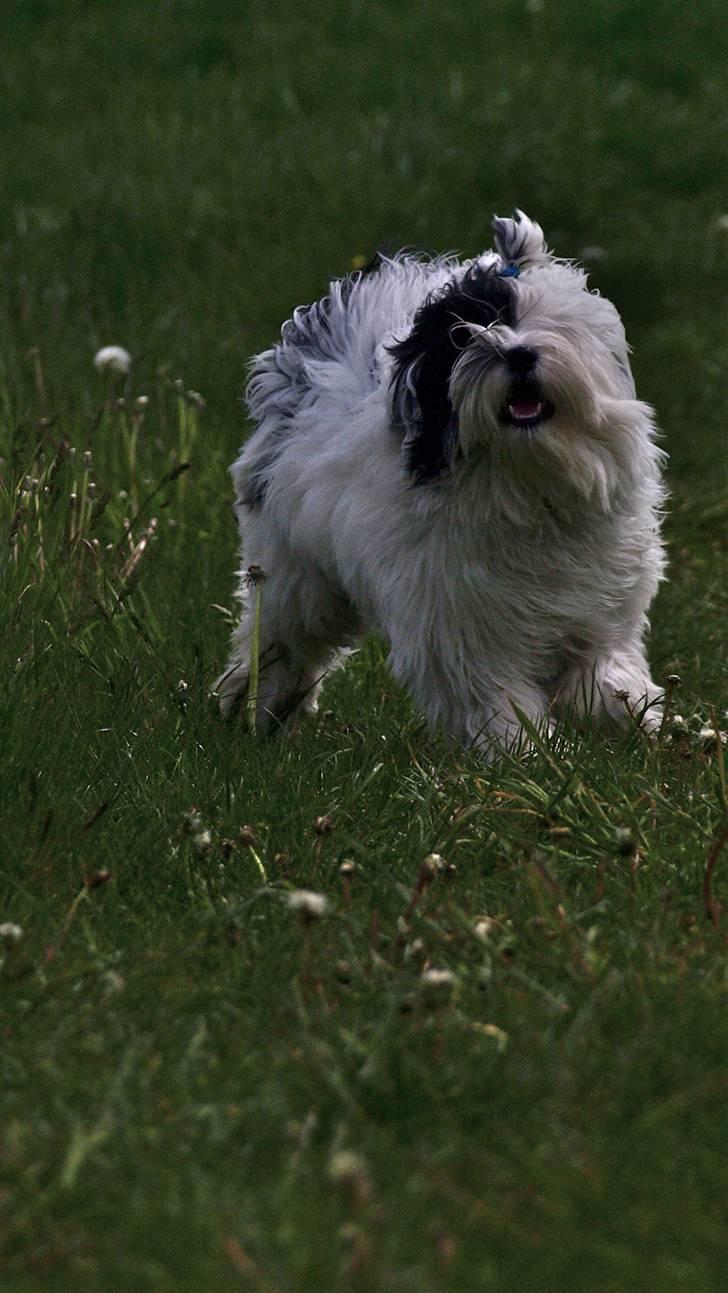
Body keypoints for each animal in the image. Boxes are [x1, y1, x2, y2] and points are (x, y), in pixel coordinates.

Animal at [215, 212, 667, 755]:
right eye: (464, 336)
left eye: (554, 325)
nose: (518, 355)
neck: (527, 483)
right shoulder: (455, 624)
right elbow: (491, 692)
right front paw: (526, 750)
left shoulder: (601, 604)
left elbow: (603, 664)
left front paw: (627, 716)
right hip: (293, 570)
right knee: (281, 640)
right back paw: (255, 710)